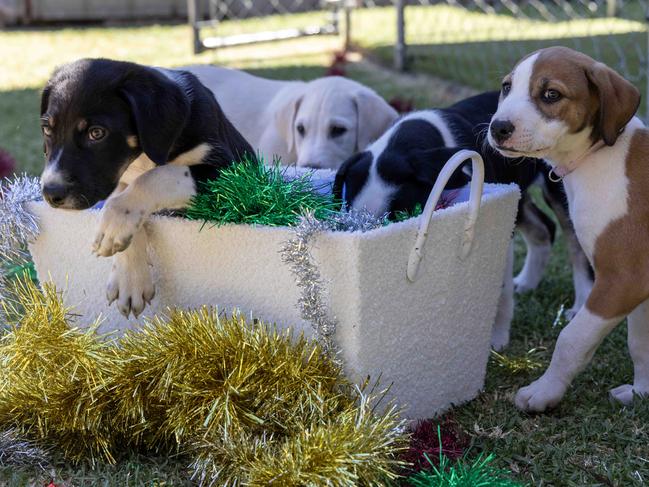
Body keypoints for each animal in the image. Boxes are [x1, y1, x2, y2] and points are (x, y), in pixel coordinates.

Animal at [39, 59, 254, 318]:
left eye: (97, 133)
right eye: (47, 130)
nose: (51, 193)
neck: (141, 157)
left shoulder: (229, 171)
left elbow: (157, 176)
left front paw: (113, 227)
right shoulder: (120, 180)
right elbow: (121, 199)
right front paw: (129, 280)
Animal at [334, 90, 592, 350]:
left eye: (399, 217)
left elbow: (501, 288)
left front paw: (497, 338)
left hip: (563, 193)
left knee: (576, 246)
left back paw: (578, 306)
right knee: (544, 228)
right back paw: (527, 282)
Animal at [486, 45, 644, 412]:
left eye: (551, 94)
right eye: (506, 87)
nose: (498, 128)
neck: (596, 157)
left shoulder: (623, 280)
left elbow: (571, 339)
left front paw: (544, 392)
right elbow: (640, 343)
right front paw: (641, 392)